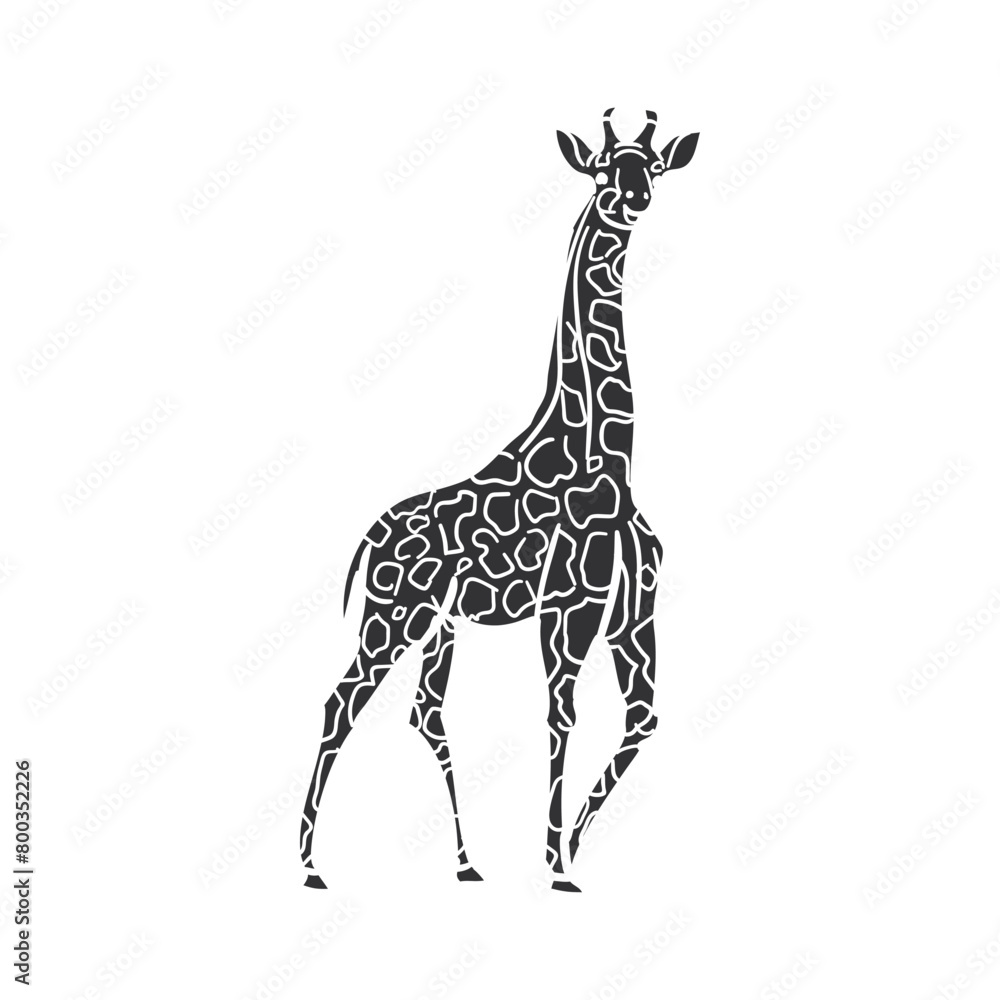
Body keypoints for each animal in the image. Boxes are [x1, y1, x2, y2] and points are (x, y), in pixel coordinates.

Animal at [300, 109, 699, 892]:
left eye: (652, 168)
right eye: (603, 171)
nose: (633, 200)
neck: (608, 456)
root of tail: (368, 539)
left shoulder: (629, 615)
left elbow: (642, 719)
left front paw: (570, 843)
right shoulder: (569, 605)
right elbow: (561, 715)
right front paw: (555, 863)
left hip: (439, 624)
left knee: (424, 712)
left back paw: (465, 862)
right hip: (394, 618)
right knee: (340, 702)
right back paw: (307, 861)